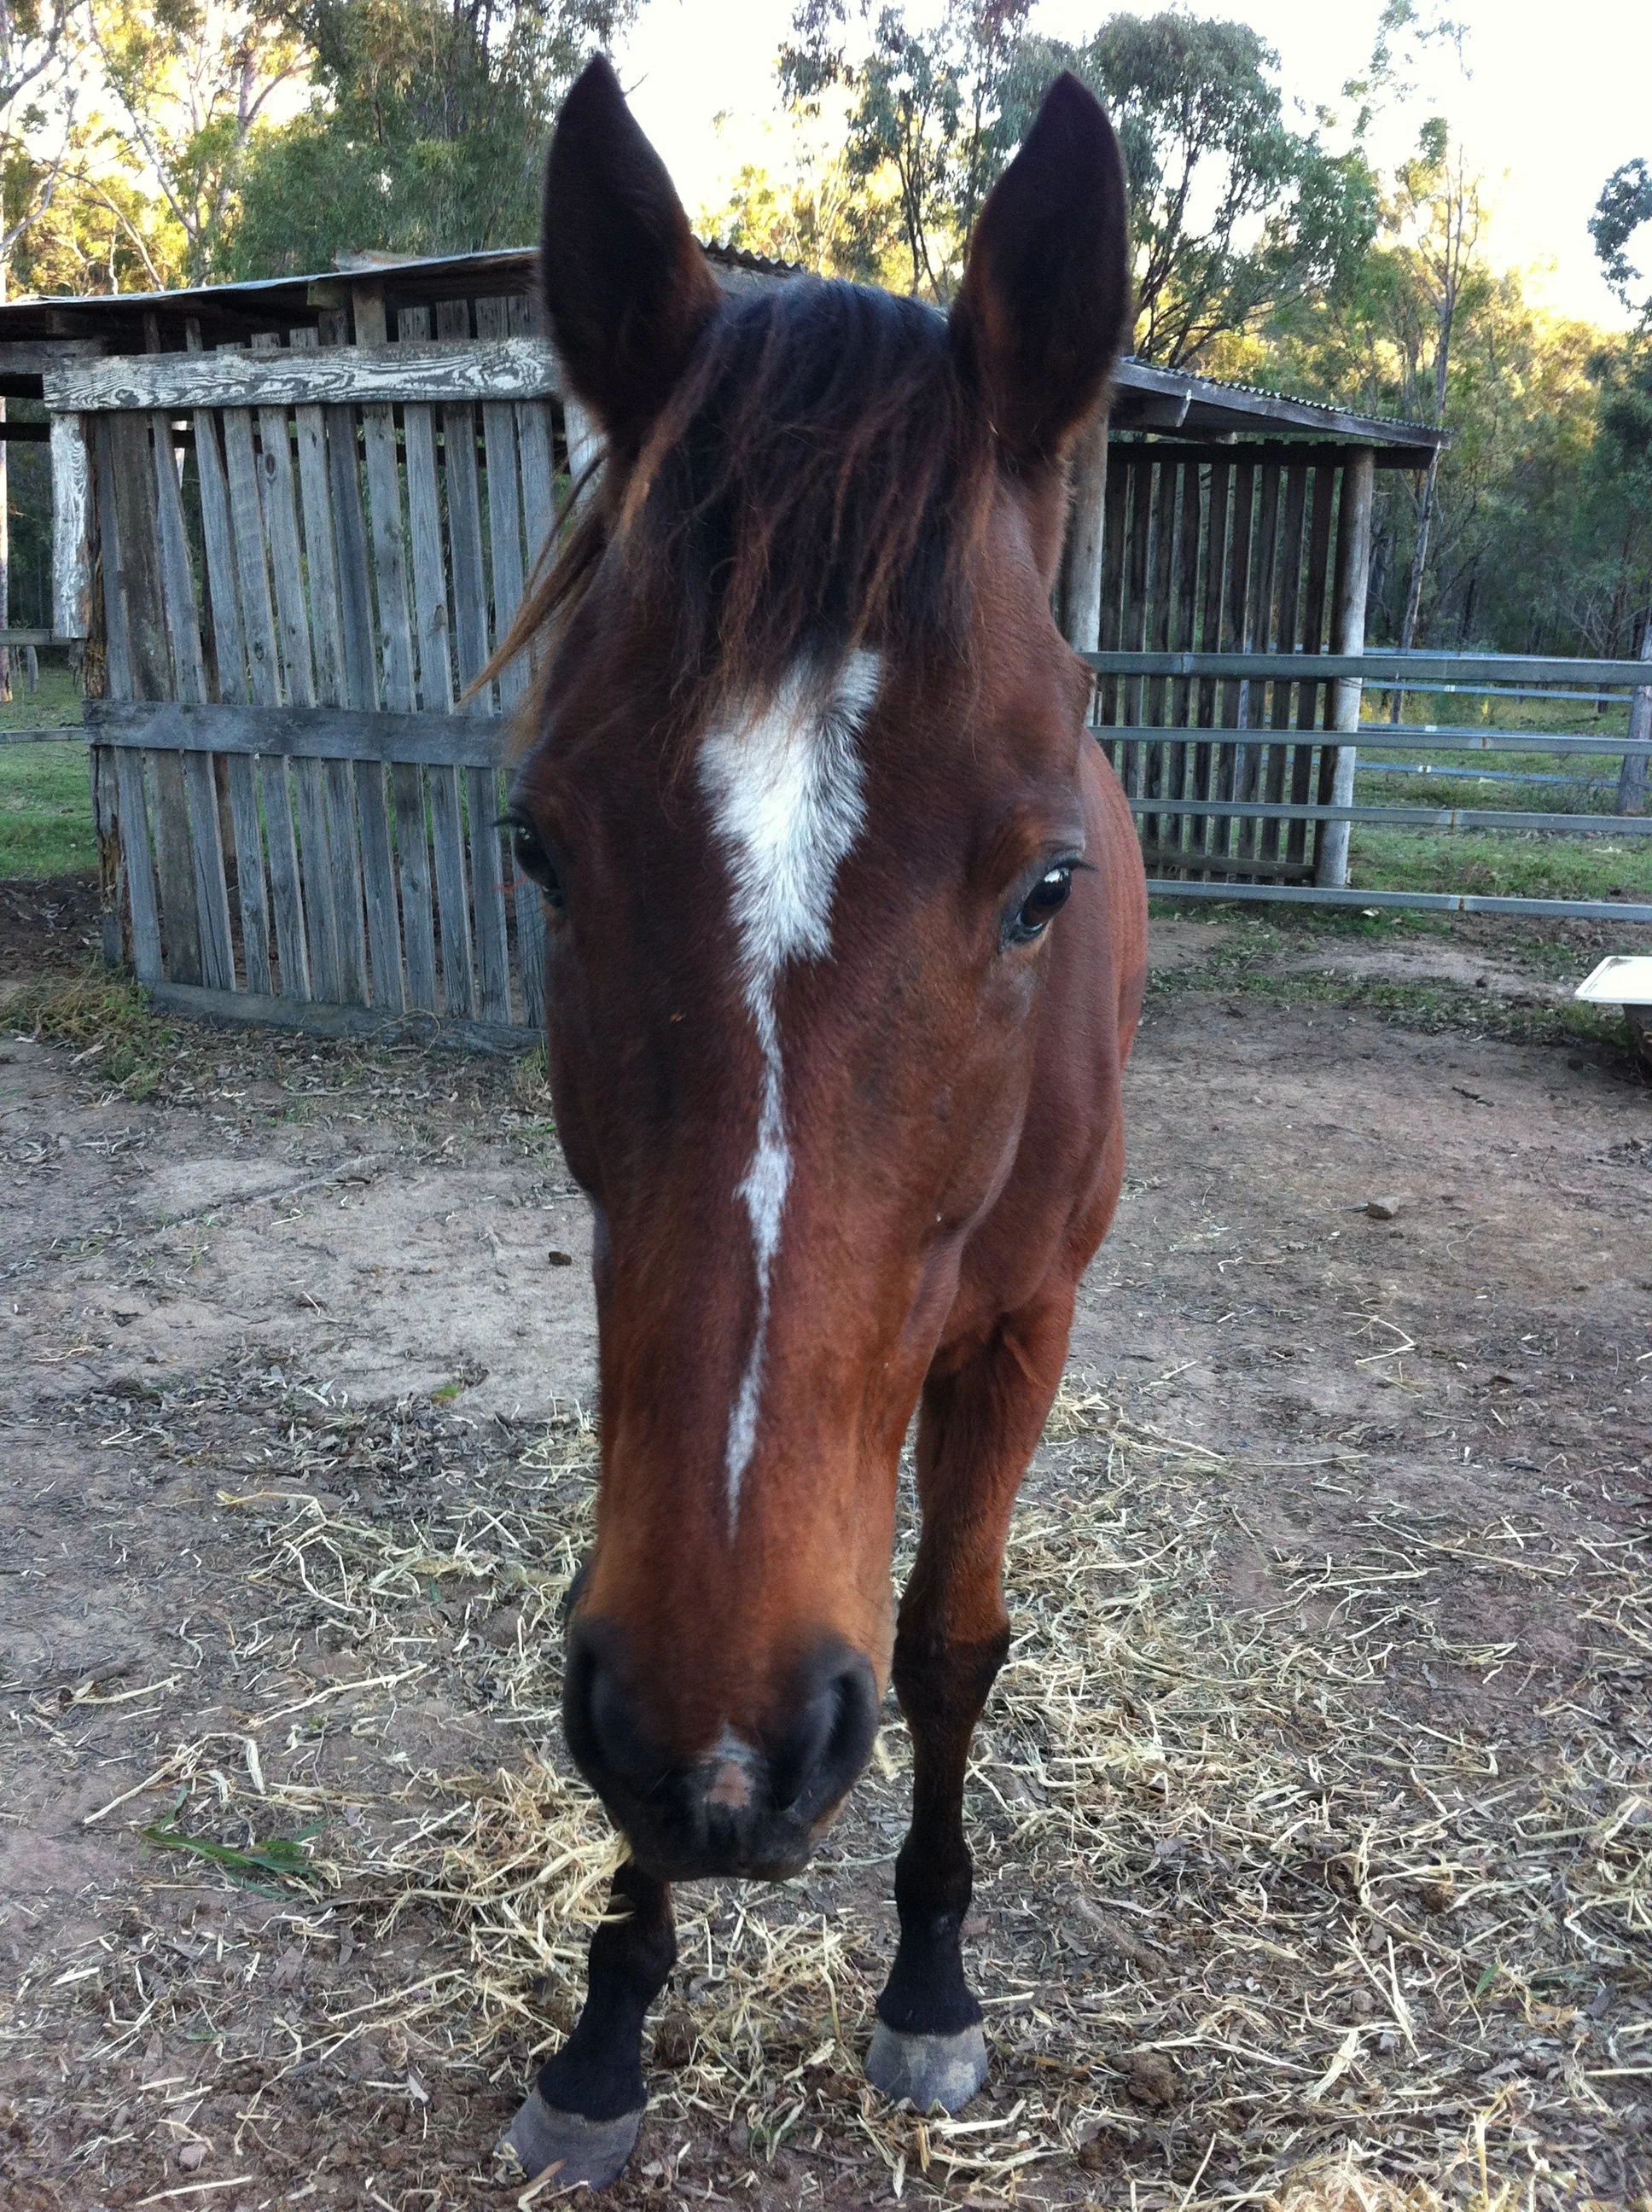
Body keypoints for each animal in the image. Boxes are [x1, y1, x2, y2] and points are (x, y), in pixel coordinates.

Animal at [498, 55, 1147, 2188]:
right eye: (539, 848)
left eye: (1039, 888)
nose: (726, 1756)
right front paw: (606, 2024)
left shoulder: (1021, 1331)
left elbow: (948, 1641)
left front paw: (928, 1983)